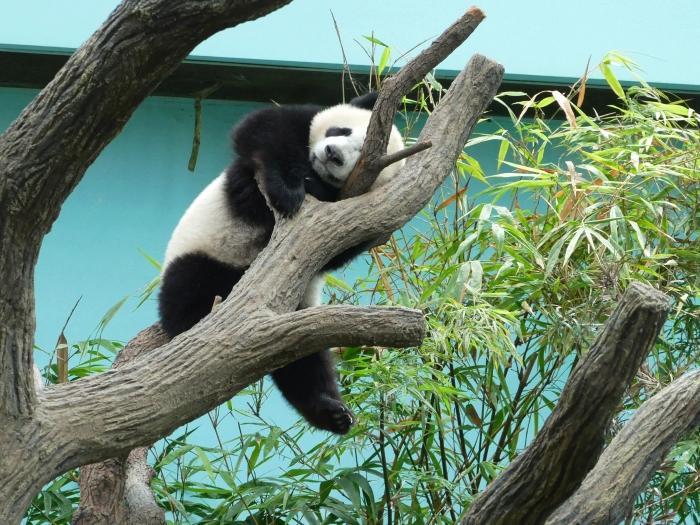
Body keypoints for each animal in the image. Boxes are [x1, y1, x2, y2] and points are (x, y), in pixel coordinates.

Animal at [159, 93, 408, 434]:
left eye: (362, 155)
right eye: (342, 131)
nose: (332, 154)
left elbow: (340, 249)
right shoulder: (287, 134)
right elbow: (264, 131)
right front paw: (289, 190)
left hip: (292, 315)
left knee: (302, 361)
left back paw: (331, 412)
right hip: (206, 255)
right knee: (189, 293)